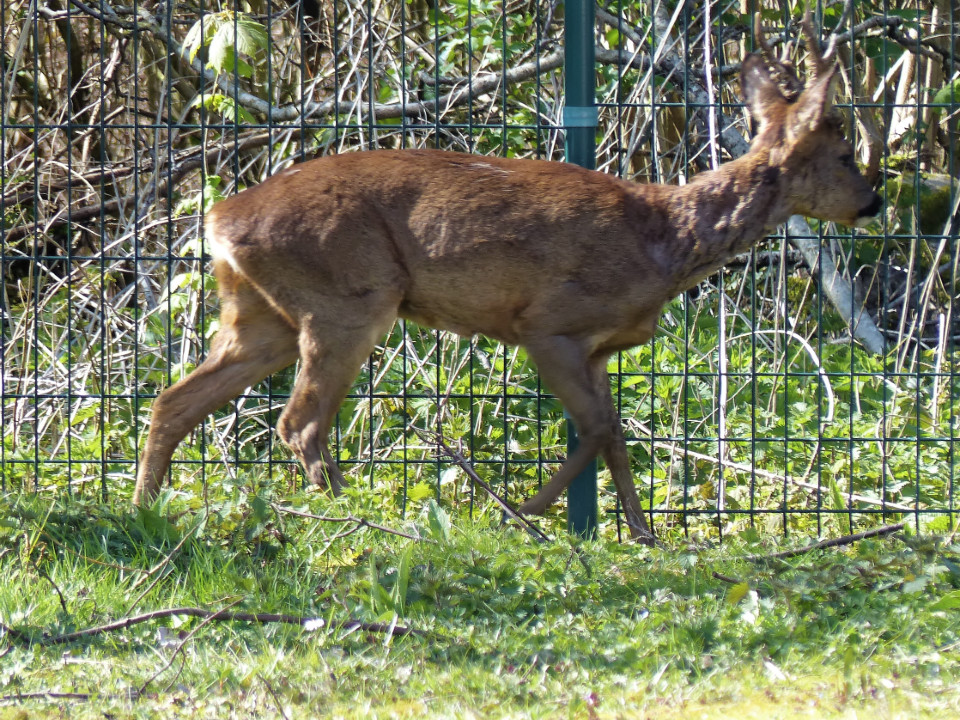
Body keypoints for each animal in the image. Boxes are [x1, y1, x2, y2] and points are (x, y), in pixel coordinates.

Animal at [133, 12, 876, 544]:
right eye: (845, 154)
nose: (873, 202)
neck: (664, 241)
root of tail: (220, 218)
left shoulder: (598, 347)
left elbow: (612, 432)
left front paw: (640, 532)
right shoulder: (549, 324)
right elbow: (598, 428)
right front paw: (525, 510)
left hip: (261, 315)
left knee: (174, 401)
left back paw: (143, 505)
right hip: (347, 297)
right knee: (300, 423)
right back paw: (358, 520)